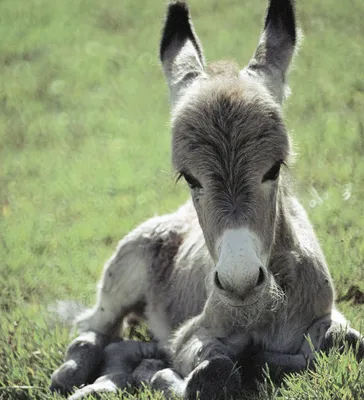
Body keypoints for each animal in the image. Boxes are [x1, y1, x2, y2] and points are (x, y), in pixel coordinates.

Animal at [50, 0, 364, 400]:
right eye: (190, 177)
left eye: (274, 168)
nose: (239, 281)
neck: (264, 308)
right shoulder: (191, 334)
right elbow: (213, 372)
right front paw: (165, 376)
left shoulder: (326, 316)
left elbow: (344, 341)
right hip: (121, 279)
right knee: (92, 332)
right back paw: (84, 377)